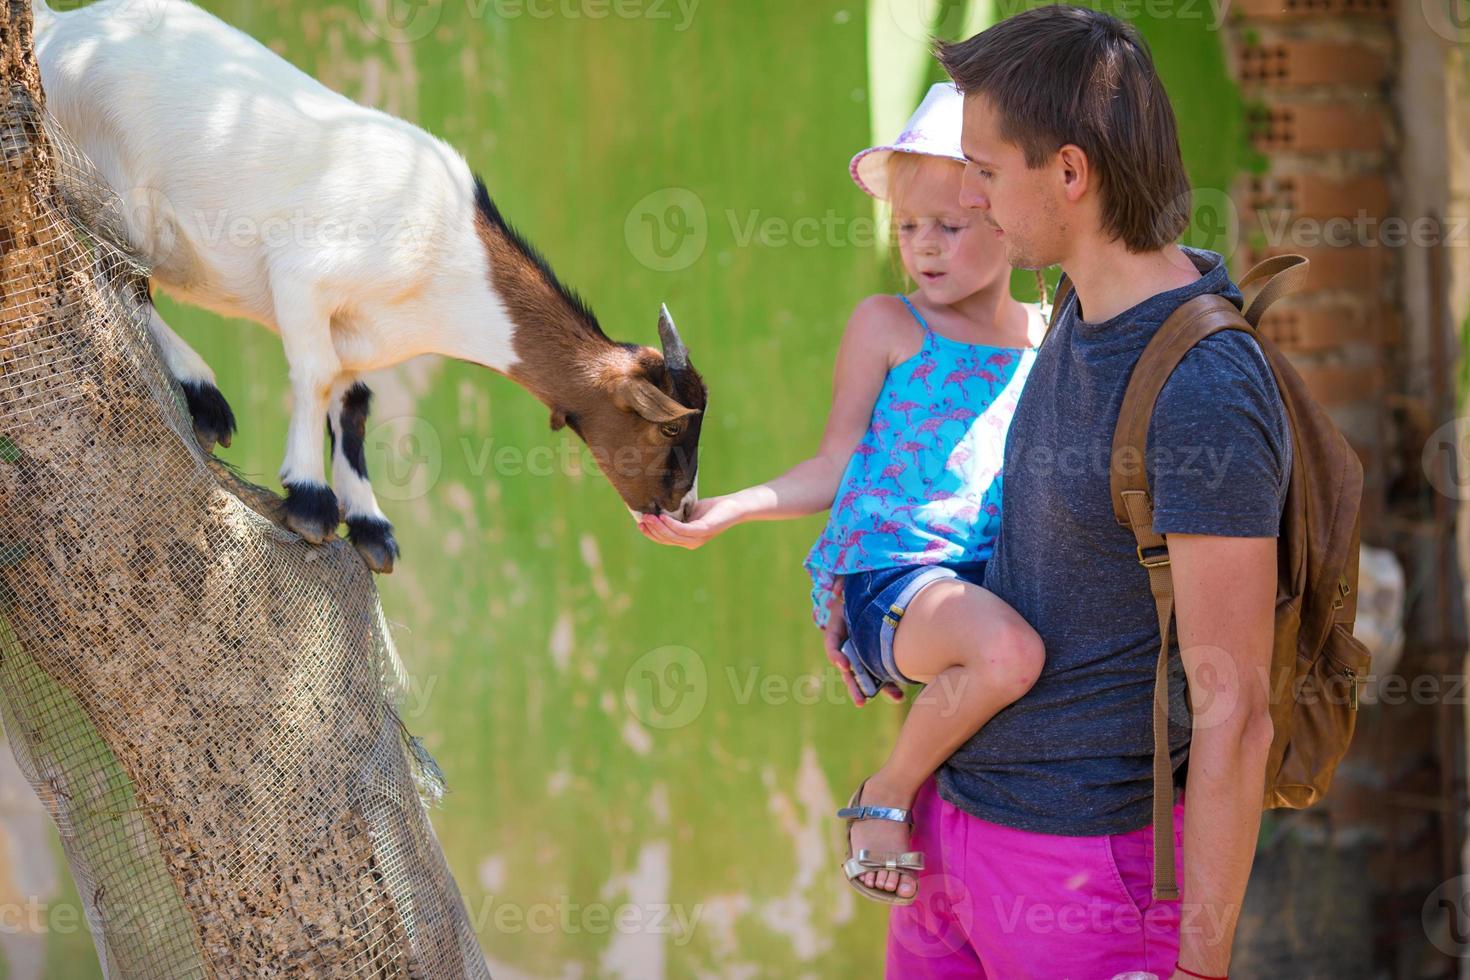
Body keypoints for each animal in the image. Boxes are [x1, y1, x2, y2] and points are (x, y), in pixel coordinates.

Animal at [28, 0, 705, 575]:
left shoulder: (362, 328)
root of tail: (56, 27)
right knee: (116, 272)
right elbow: (317, 376)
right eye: (670, 427)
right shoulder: (302, 277)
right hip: (109, 190)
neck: (451, 254)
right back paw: (205, 398)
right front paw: (310, 502)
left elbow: (352, 404)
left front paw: (372, 527)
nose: (678, 507)